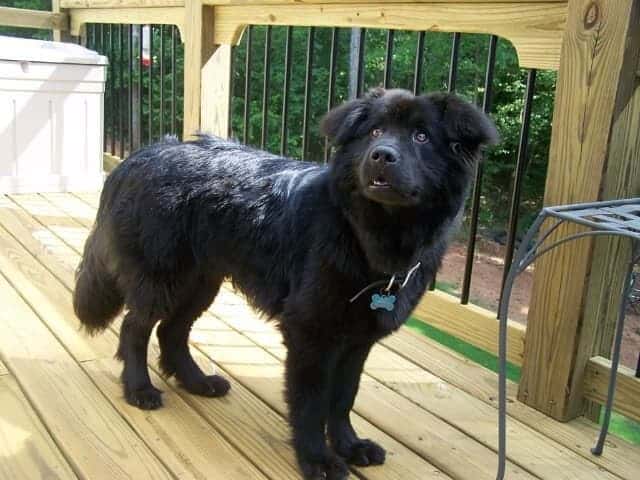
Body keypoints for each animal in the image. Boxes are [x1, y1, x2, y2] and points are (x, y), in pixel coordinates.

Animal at [74, 89, 496, 476]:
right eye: (375, 131)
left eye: (422, 137)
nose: (381, 155)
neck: (364, 234)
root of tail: (142, 155)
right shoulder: (310, 333)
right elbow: (311, 405)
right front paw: (317, 459)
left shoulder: (356, 341)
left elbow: (343, 398)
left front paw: (350, 446)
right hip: (162, 278)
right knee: (134, 329)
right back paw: (139, 389)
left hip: (201, 281)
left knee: (171, 331)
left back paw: (197, 382)